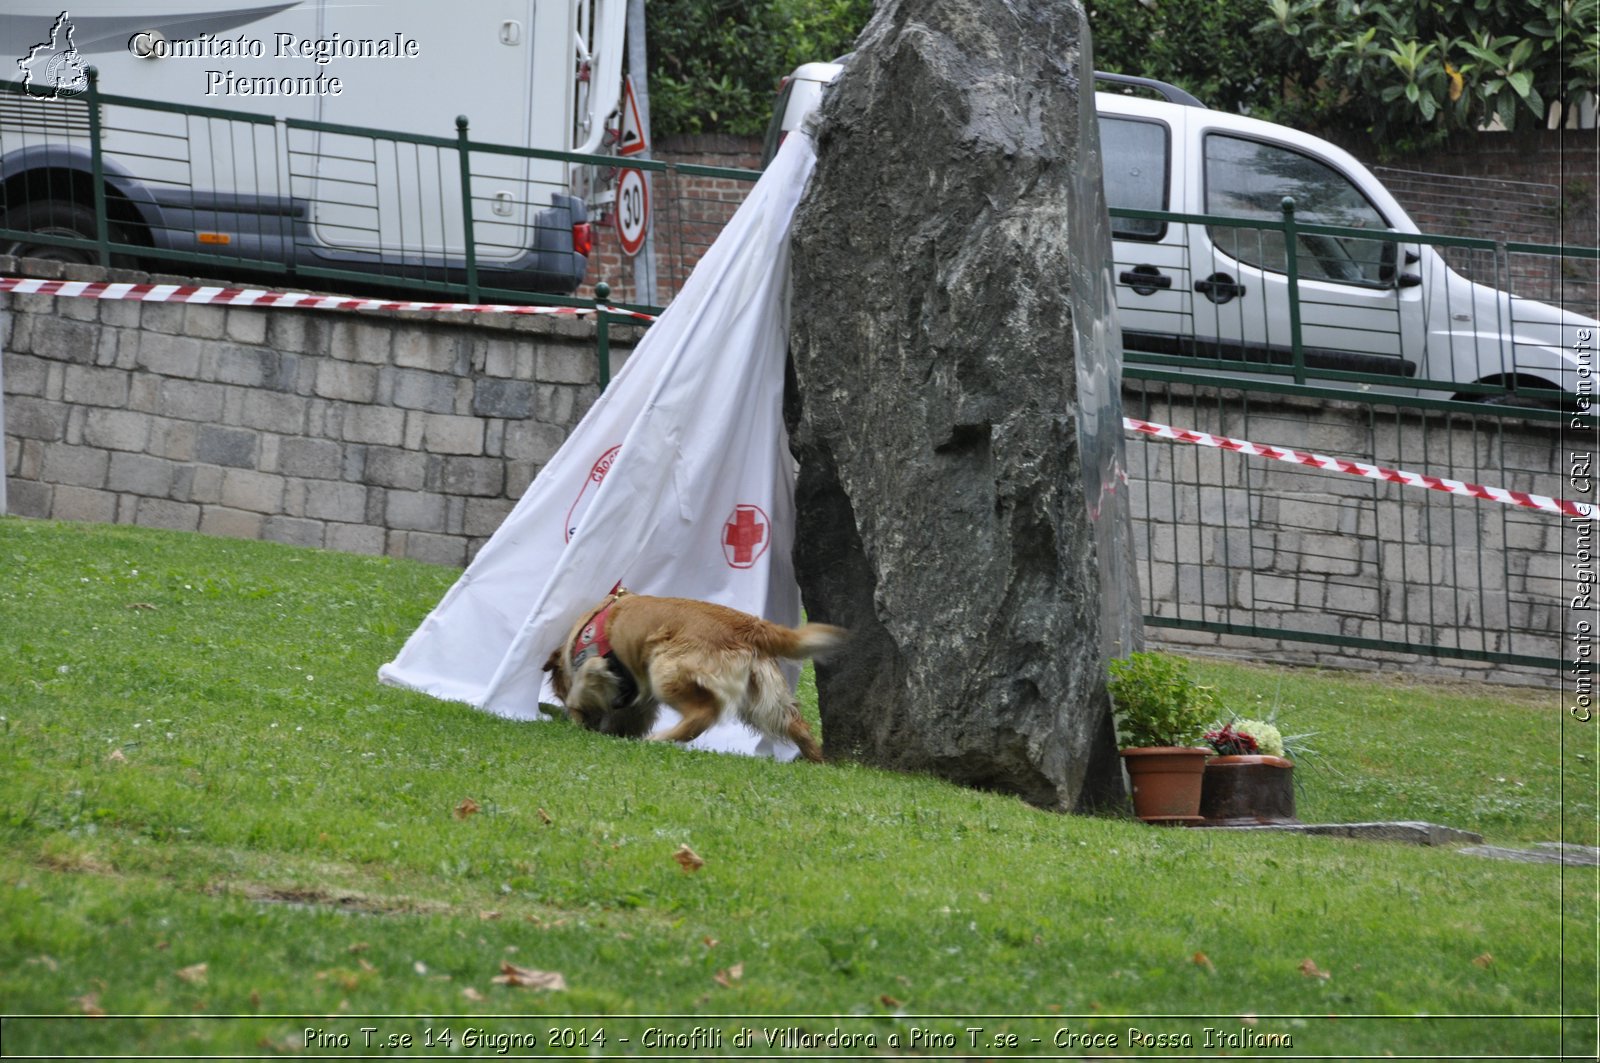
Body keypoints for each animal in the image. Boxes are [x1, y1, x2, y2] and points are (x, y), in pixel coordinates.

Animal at [544, 592, 844, 758]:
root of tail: (752, 626)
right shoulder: (638, 700)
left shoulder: (597, 668)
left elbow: (582, 694)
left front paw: (578, 717)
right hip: (764, 698)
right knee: (798, 725)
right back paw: (818, 760)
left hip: (665, 669)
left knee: (703, 714)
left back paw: (661, 739)